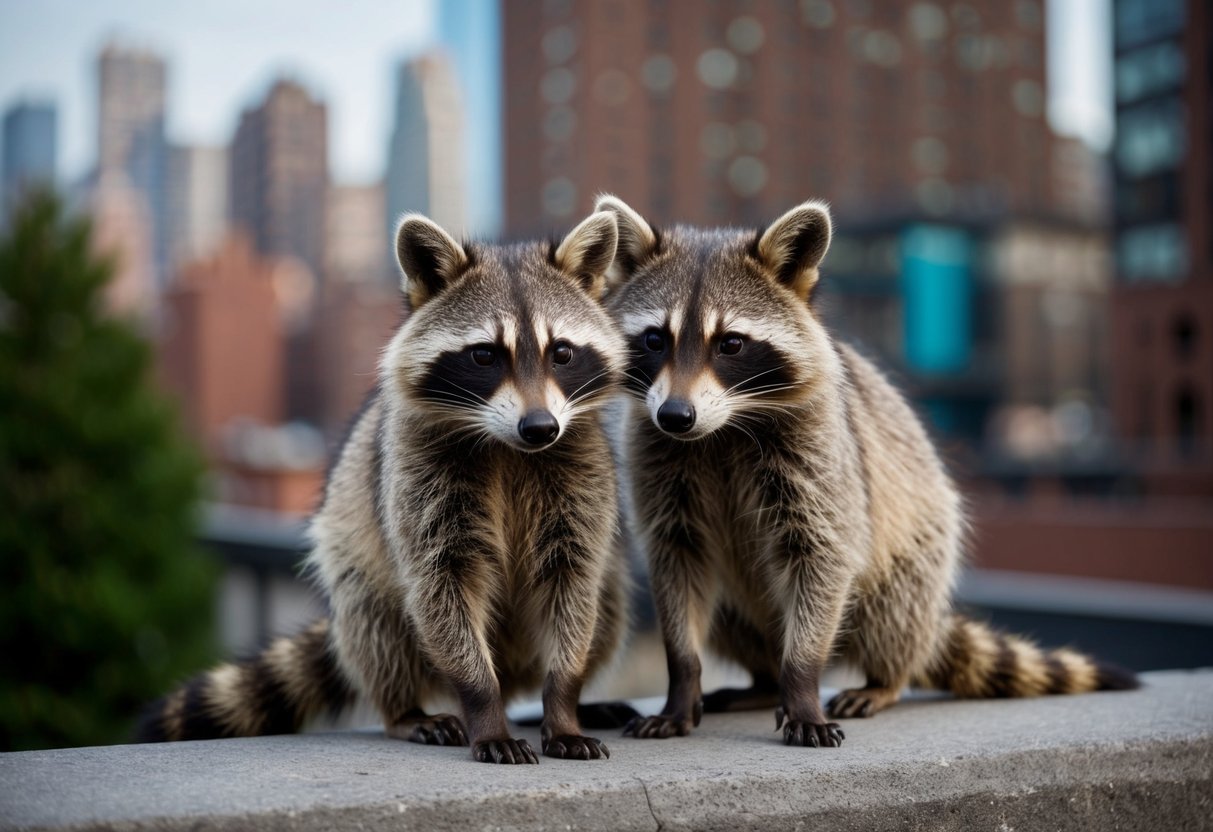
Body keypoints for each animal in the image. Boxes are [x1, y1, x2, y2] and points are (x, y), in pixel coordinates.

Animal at [139, 210, 633, 763]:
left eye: (562, 353)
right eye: (485, 356)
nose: (540, 427)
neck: (510, 448)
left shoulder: (580, 474)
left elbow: (574, 586)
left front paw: (564, 701)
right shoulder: (417, 478)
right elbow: (441, 588)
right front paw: (483, 707)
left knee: (607, 606)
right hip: (359, 566)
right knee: (378, 624)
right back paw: (409, 710)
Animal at [596, 195, 1137, 748]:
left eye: (730, 344)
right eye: (655, 340)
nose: (675, 416)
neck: (722, 428)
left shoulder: (821, 461)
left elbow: (825, 557)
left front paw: (803, 682)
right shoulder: (660, 466)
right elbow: (677, 566)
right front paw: (682, 685)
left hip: (915, 557)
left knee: (890, 612)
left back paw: (881, 680)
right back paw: (764, 683)